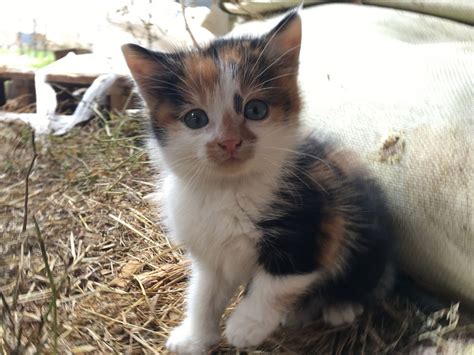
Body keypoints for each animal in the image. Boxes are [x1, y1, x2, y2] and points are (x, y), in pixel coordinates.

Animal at [121, 9, 392, 354]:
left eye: (256, 109)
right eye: (195, 118)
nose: (229, 142)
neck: (227, 189)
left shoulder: (315, 226)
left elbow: (276, 283)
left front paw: (245, 326)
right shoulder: (209, 252)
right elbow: (204, 293)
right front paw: (195, 337)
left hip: (366, 232)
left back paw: (340, 306)